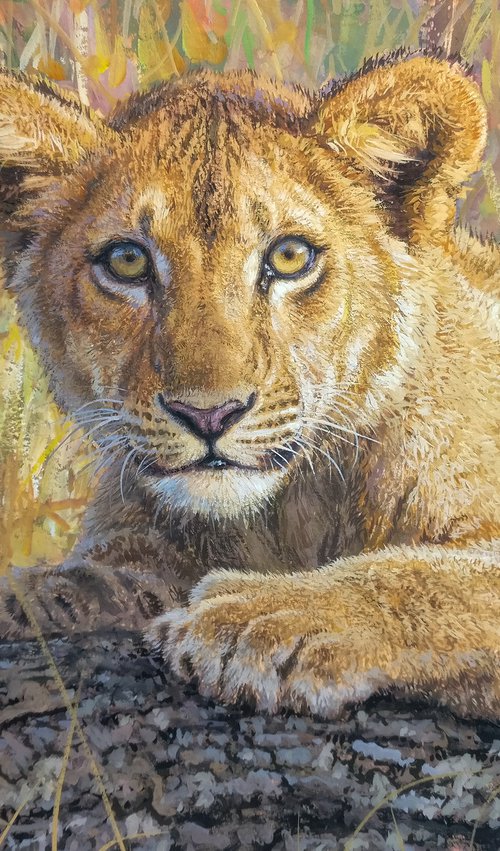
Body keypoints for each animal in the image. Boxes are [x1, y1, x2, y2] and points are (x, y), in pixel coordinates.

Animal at [0, 50, 499, 720]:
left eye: (289, 257)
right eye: (127, 262)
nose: (209, 415)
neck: (290, 514)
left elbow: (426, 578)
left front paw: (260, 618)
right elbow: (110, 575)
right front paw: (43, 596)